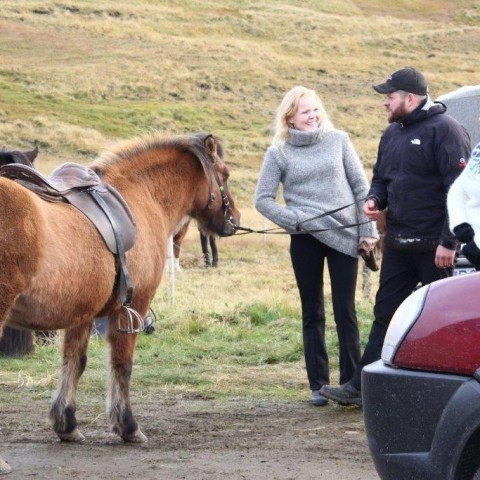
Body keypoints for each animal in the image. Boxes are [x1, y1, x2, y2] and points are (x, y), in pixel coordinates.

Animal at [0, 130, 240, 472]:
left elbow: (74, 362)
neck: (140, 196)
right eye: (225, 175)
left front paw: (67, 424)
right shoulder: (133, 308)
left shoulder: (83, 314)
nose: (234, 220)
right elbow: (122, 364)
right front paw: (128, 426)